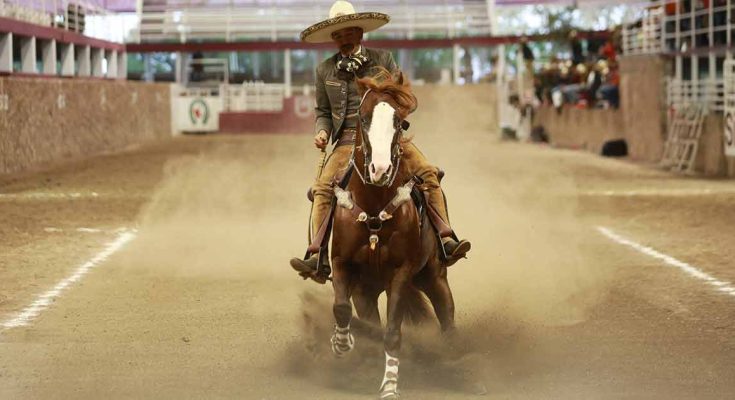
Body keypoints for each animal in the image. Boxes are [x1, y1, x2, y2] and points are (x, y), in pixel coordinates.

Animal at [330, 70, 458, 398]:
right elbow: (341, 308)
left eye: (400, 122)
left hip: (433, 277)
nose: (380, 169)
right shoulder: (342, 264)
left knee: (447, 319)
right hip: (367, 291)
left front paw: (389, 385)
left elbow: (392, 333)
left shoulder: (401, 273)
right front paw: (341, 342)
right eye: (362, 118)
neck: (374, 207)